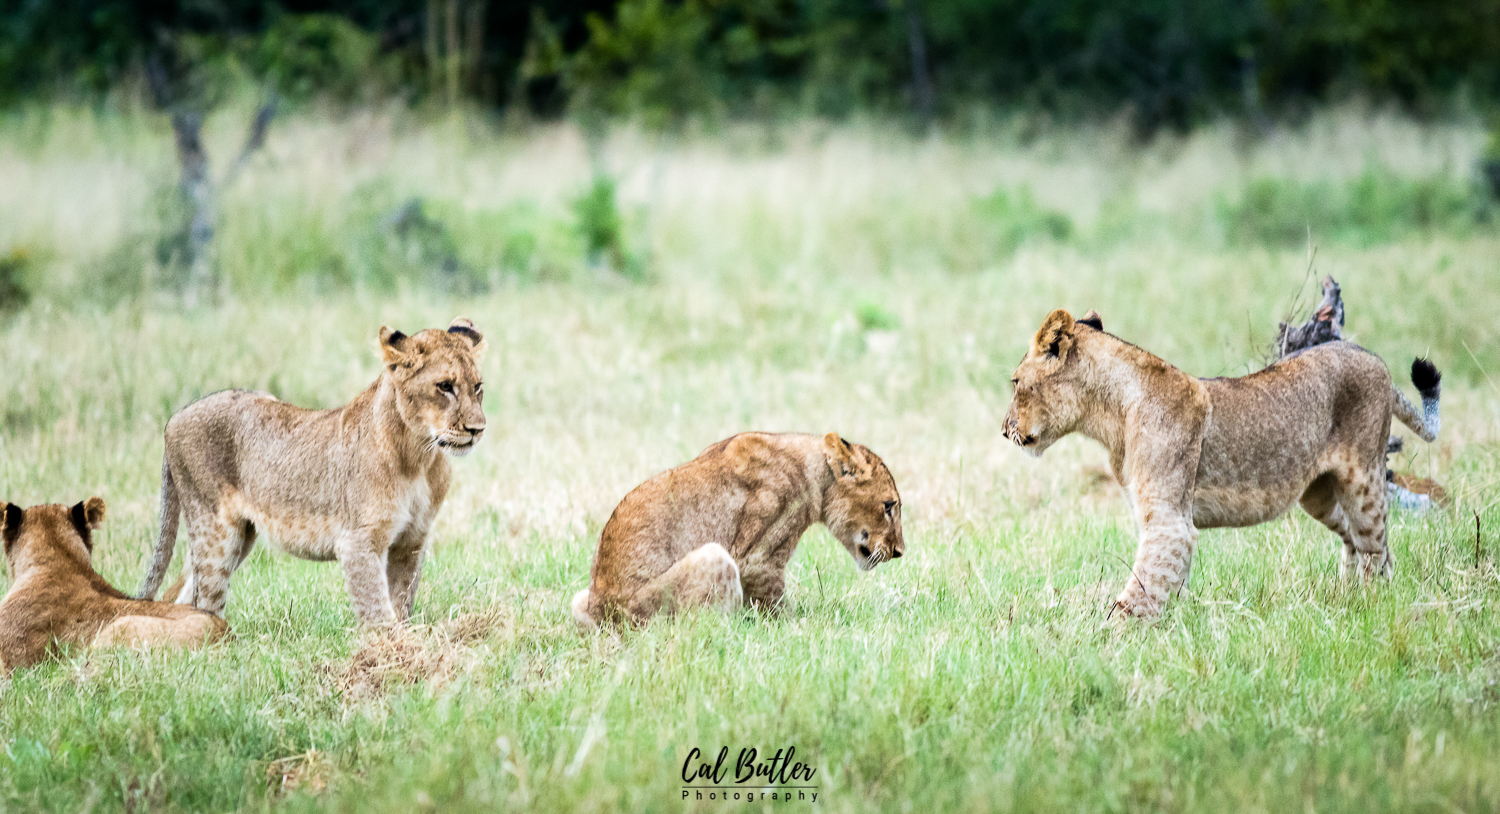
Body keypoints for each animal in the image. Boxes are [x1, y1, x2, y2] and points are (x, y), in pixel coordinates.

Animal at [135, 317, 487, 627]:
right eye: (445, 386)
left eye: (478, 387)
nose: (477, 429)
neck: (419, 457)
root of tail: (173, 419)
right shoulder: (358, 543)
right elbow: (378, 612)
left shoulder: (411, 542)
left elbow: (401, 604)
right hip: (214, 530)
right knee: (205, 599)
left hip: (240, 535)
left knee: (180, 594)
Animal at [571, 432, 904, 629]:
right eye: (888, 506)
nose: (899, 552)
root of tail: (602, 612)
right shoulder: (758, 559)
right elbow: (778, 610)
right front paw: (803, 629)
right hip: (712, 558)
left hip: (579, 600)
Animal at [1003, 309, 1441, 619]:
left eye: (1015, 382)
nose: (1004, 430)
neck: (1110, 416)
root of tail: (1375, 359)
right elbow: (1169, 583)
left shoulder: (1168, 522)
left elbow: (1140, 592)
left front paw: (1103, 641)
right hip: (1317, 494)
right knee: (1357, 541)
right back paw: (1346, 595)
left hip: (1362, 480)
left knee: (1375, 548)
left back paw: (1372, 603)